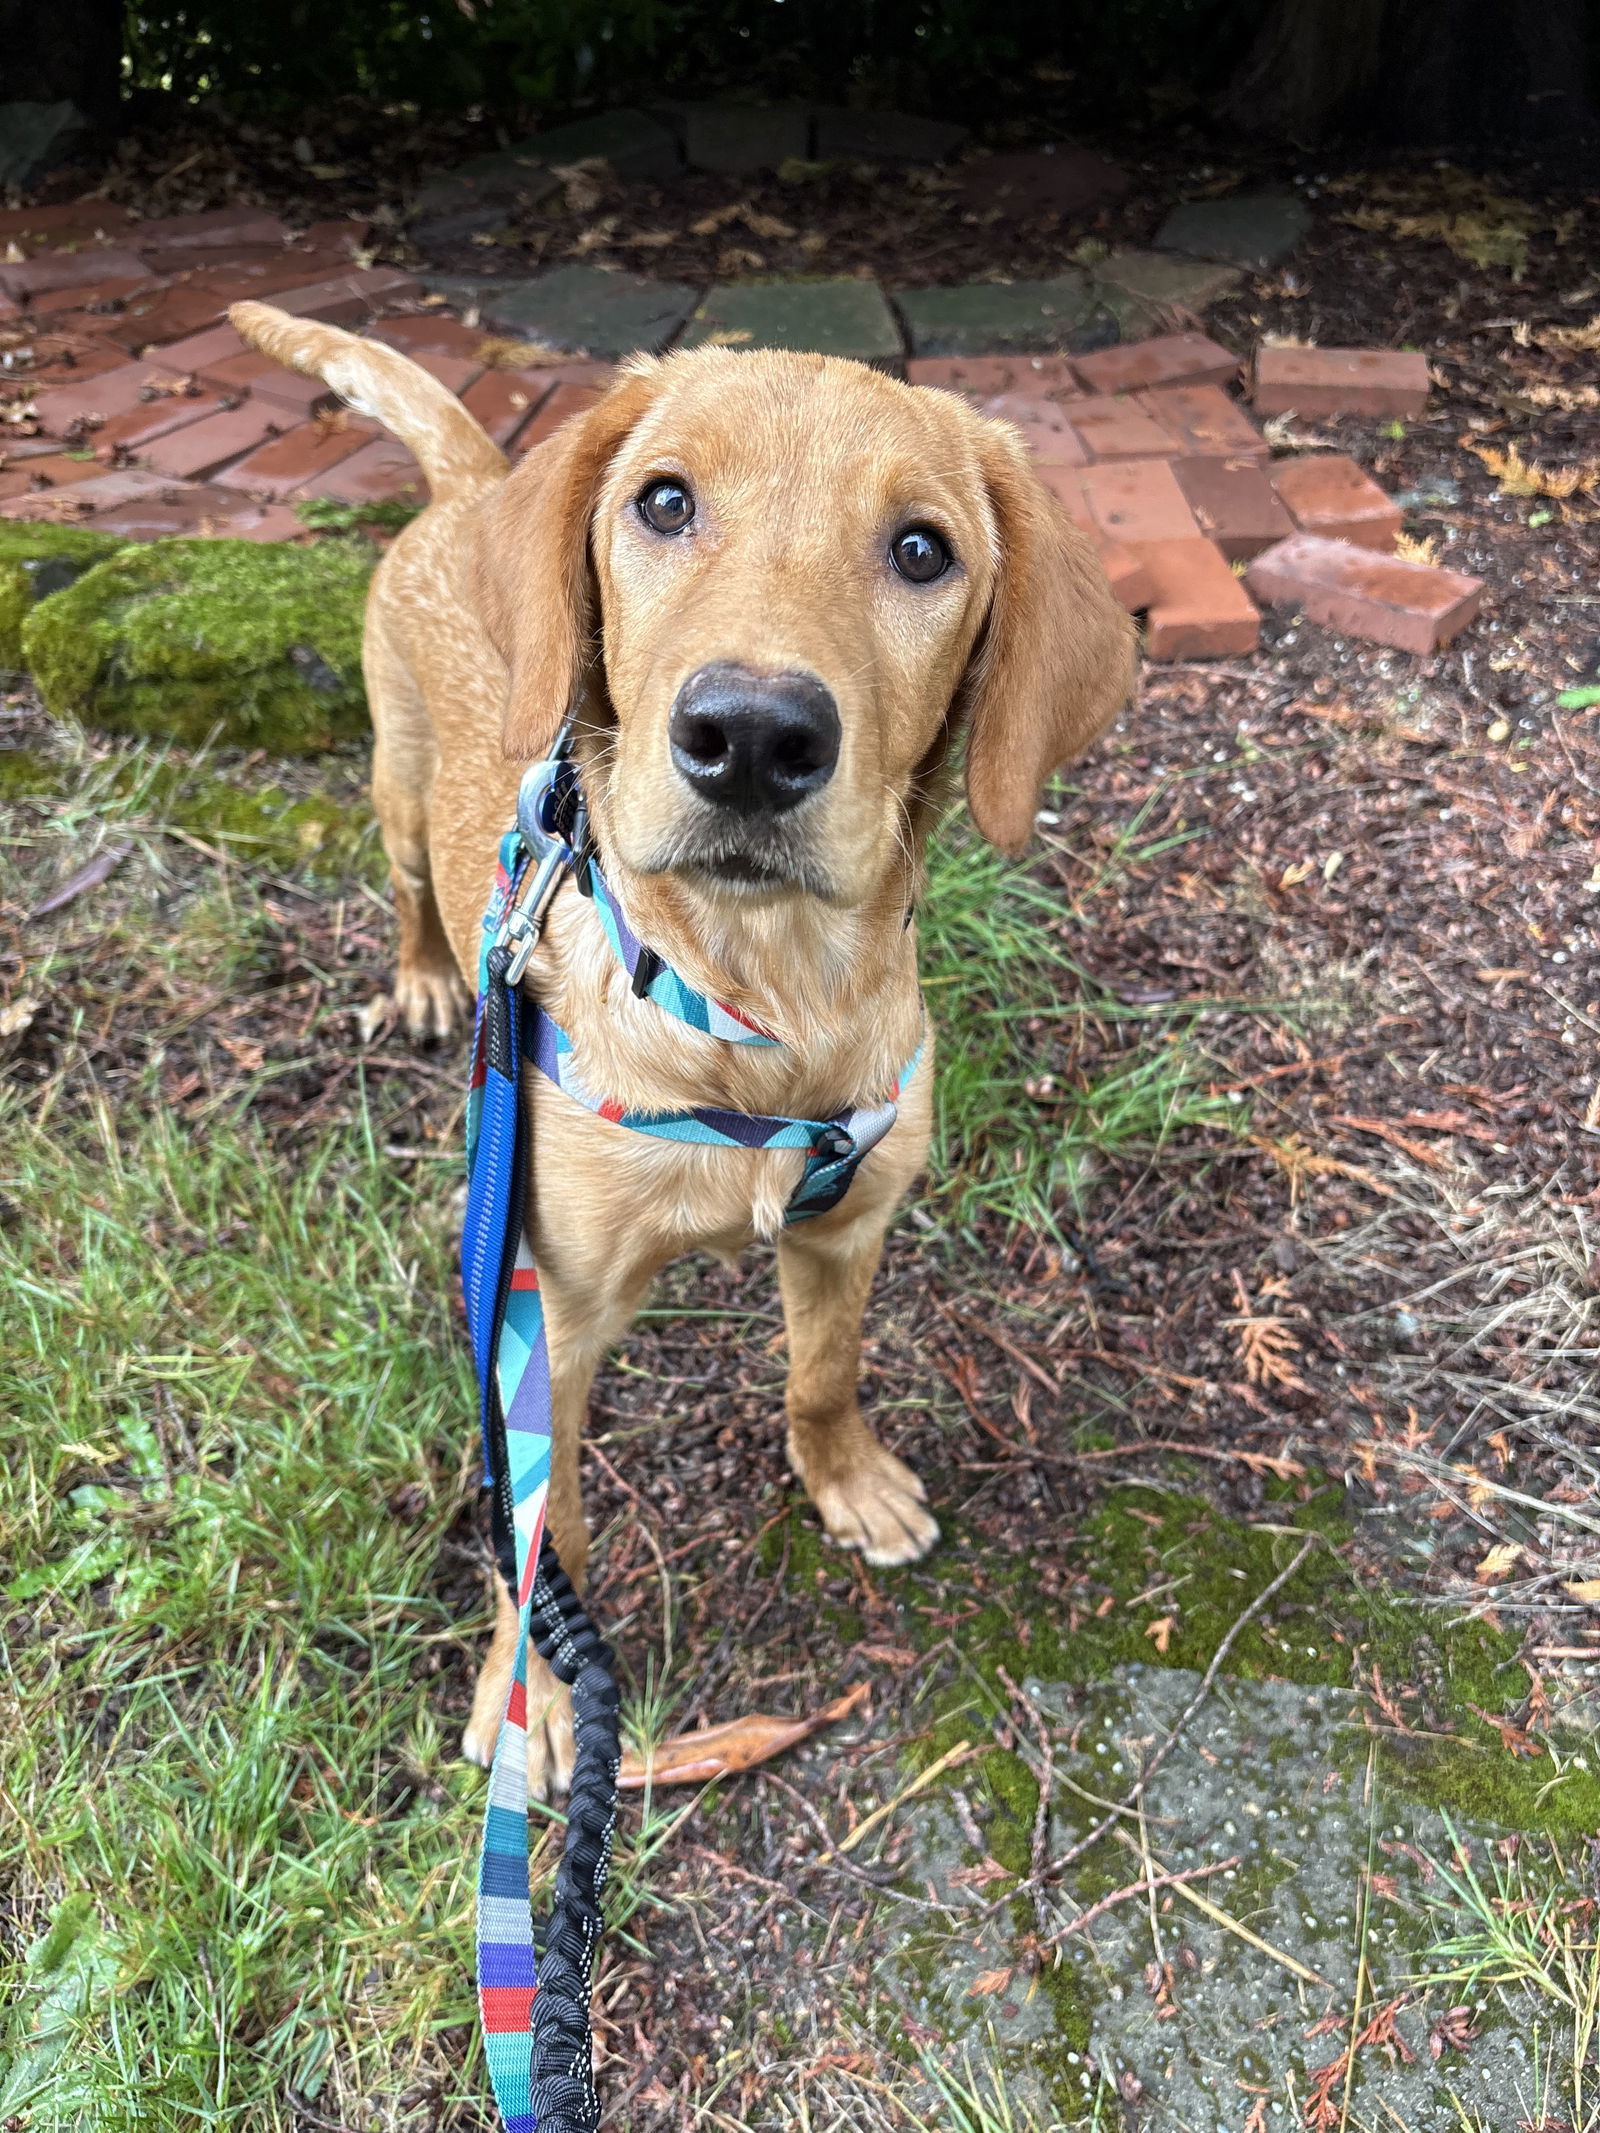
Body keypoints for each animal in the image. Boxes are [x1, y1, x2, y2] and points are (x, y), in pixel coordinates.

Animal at [231, 300, 1134, 1791]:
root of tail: (475, 486)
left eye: (922, 549)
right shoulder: (546, 1310)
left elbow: (821, 1374)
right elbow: (545, 1525)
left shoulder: (848, 1226)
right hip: (398, 785)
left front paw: (846, 1479)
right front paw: (532, 1686)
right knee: (410, 885)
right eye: (664, 501)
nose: (754, 736)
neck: (752, 998)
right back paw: (424, 979)